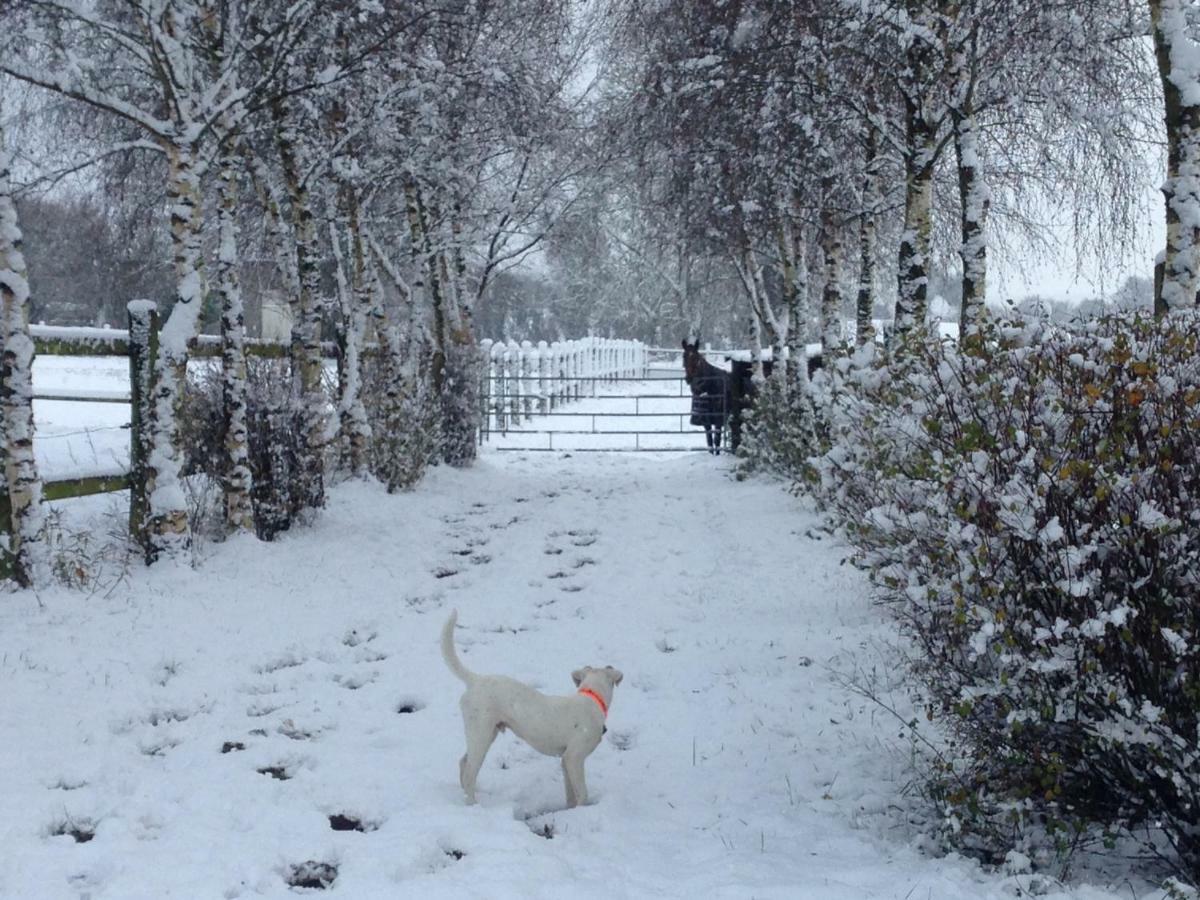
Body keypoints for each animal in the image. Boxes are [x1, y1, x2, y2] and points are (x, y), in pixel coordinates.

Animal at [444, 614, 628, 811]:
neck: (591, 696)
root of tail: (475, 680)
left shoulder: (565, 761)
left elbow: (570, 794)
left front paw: (569, 809)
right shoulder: (574, 757)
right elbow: (582, 794)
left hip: (485, 733)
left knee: (464, 763)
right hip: (481, 734)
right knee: (470, 771)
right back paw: (472, 803)